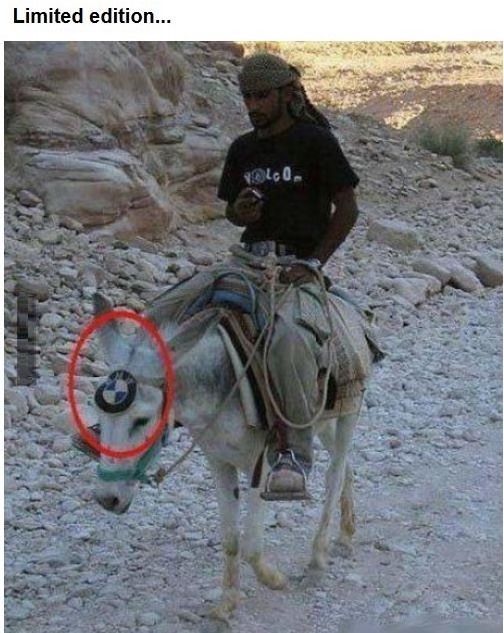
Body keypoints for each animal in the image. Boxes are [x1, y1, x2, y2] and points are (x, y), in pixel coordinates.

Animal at [88, 288, 369, 626]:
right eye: (99, 415)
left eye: (141, 420)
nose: (107, 499)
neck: (221, 386)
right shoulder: (219, 462)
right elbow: (231, 539)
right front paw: (227, 603)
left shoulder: (263, 463)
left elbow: (250, 545)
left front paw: (273, 580)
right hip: (323, 421)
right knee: (347, 468)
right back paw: (345, 536)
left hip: (349, 411)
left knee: (335, 476)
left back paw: (317, 560)